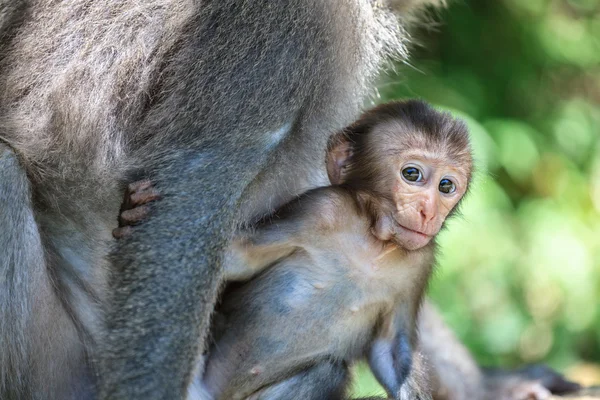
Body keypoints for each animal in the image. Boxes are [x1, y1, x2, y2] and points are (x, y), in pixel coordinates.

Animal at [115, 101, 474, 400]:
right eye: (412, 174)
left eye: (446, 186)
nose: (429, 211)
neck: (373, 242)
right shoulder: (320, 209)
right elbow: (237, 259)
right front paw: (133, 210)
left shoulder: (419, 261)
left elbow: (390, 348)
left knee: (325, 371)